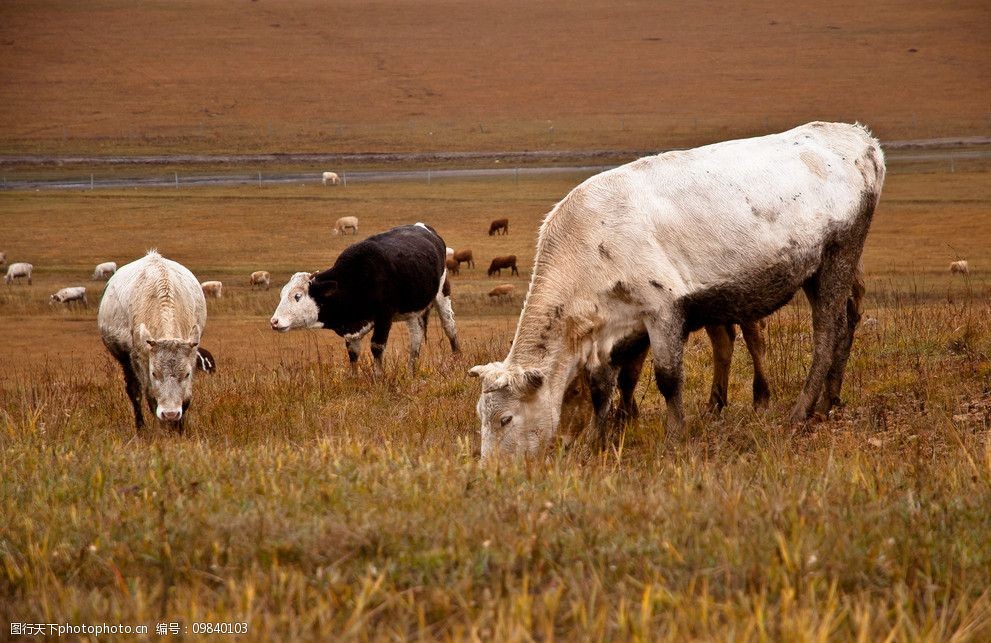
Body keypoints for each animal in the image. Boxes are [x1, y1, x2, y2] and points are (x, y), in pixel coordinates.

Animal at [99, 252, 207, 432]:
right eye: (154, 373)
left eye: (186, 374)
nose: (170, 414)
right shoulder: (140, 360)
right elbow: (149, 396)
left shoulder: (191, 357)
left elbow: (186, 398)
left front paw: (179, 429)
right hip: (125, 361)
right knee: (134, 392)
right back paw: (140, 427)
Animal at [268, 223, 462, 374]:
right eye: (282, 294)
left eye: (297, 296)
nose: (274, 322)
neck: (356, 278)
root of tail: (425, 228)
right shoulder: (352, 330)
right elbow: (353, 352)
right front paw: (354, 379)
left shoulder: (384, 316)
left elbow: (376, 347)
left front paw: (379, 378)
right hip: (412, 311)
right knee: (416, 336)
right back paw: (410, 371)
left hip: (442, 293)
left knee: (449, 327)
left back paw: (456, 359)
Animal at [468, 123, 888, 460]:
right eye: (480, 416)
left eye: (505, 418)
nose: (491, 469)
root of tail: (863, 140)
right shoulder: (612, 330)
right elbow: (604, 387)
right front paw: (595, 443)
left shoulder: (663, 309)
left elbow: (668, 379)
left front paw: (674, 437)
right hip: (830, 268)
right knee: (846, 323)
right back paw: (829, 402)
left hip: (838, 255)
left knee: (827, 332)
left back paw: (801, 410)